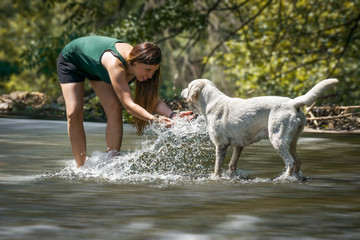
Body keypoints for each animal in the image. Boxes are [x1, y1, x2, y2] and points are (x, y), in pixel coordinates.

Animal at [181, 78, 338, 178]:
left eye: (188, 86)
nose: (181, 91)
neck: (210, 103)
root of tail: (293, 103)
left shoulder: (220, 145)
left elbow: (217, 167)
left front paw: (215, 177)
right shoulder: (238, 146)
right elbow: (232, 164)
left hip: (277, 140)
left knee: (290, 162)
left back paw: (284, 179)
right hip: (292, 141)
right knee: (298, 161)